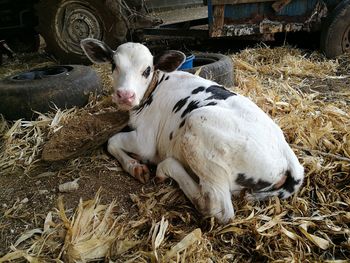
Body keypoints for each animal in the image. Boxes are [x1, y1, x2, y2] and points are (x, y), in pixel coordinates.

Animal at [80, 39, 304, 225]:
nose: (125, 95)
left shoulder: (145, 141)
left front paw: (135, 166)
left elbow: (111, 141)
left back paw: (166, 168)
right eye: (113, 65)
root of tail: (287, 153)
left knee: (218, 208)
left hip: (198, 126)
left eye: (147, 70)